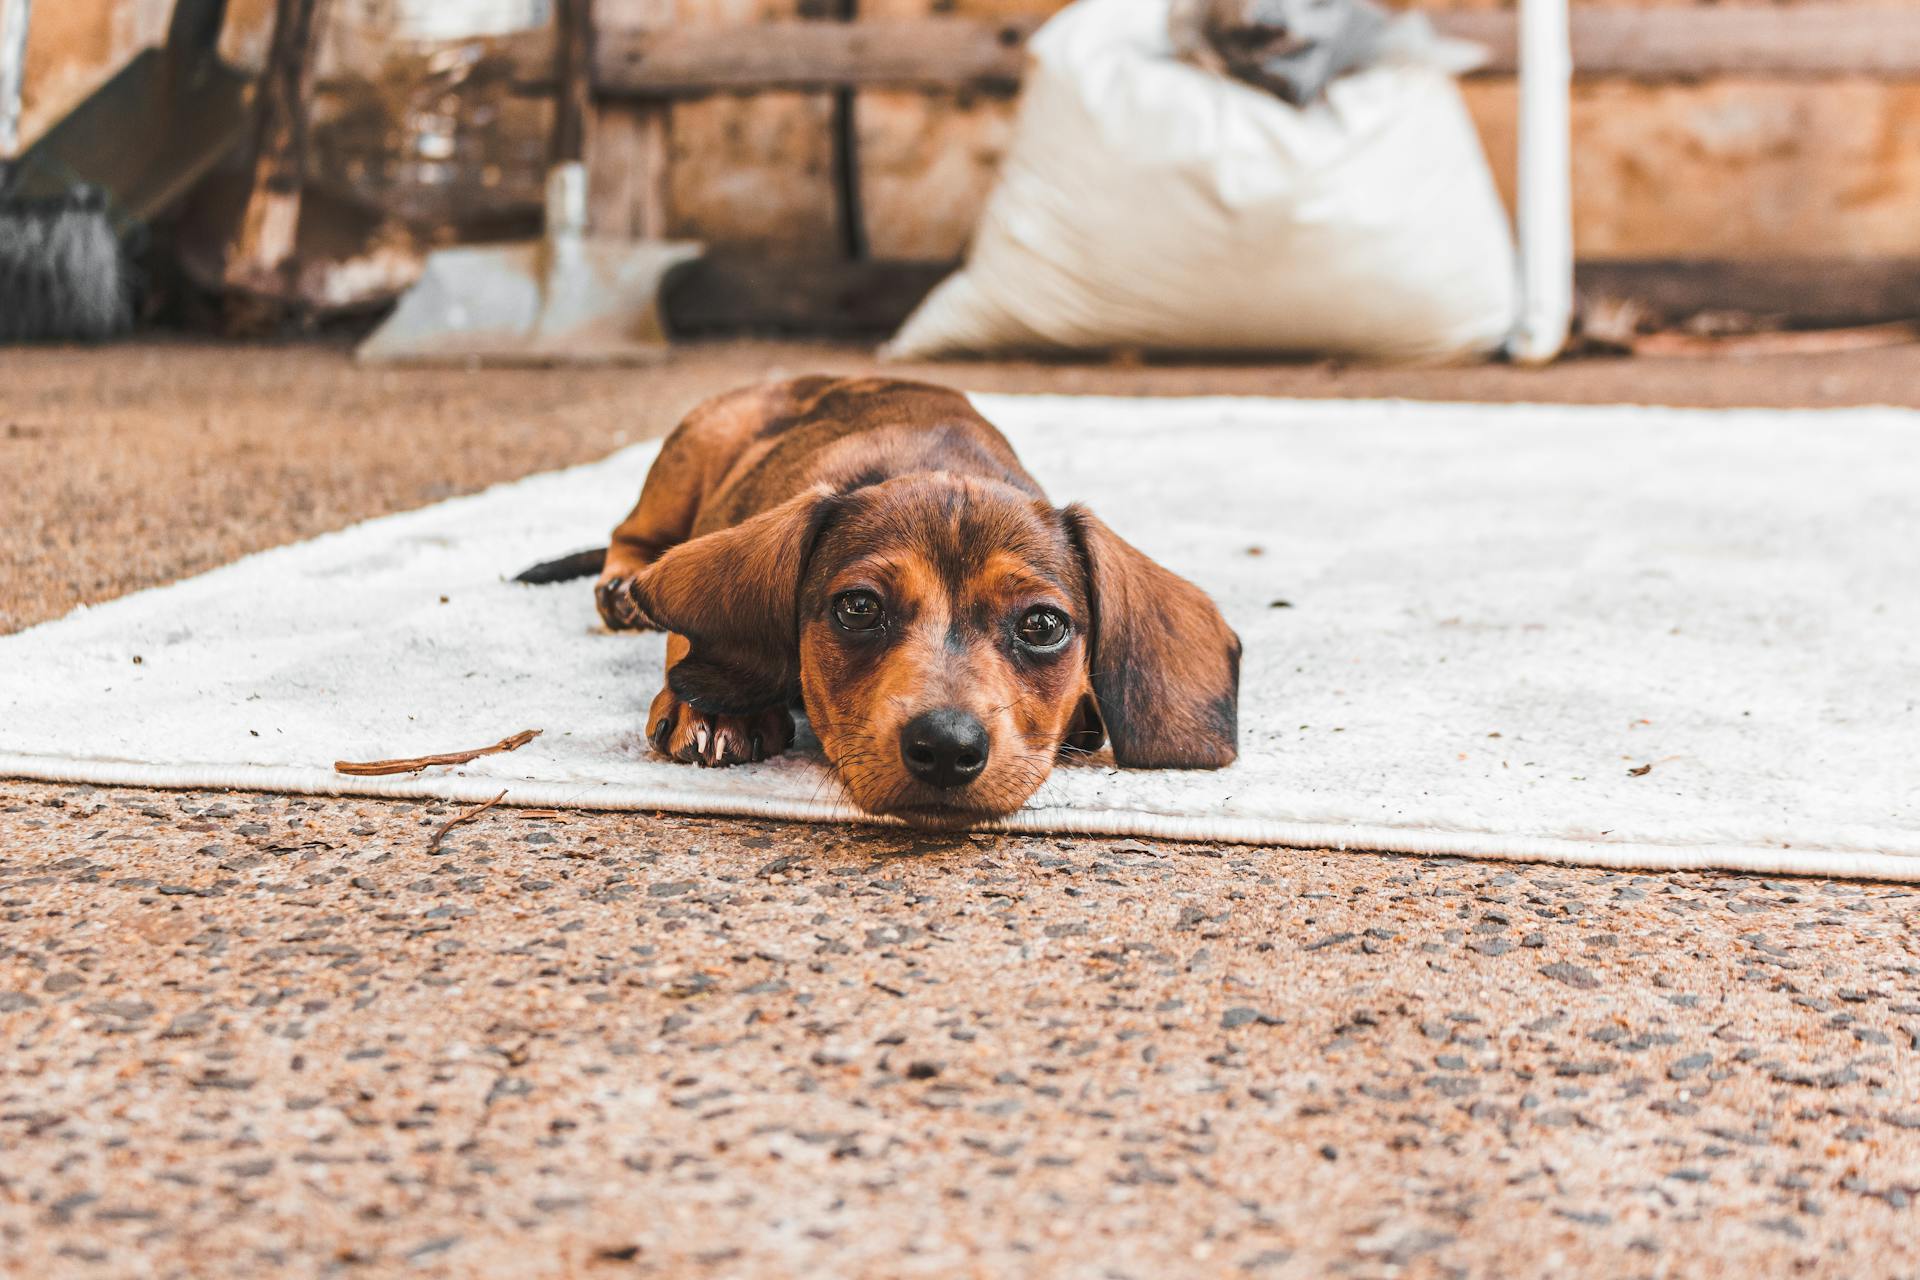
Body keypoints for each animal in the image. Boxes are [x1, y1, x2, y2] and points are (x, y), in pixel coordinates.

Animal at [526, 376, 1244, 825]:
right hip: (694, 448)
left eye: (1043, 624)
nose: (947, 748)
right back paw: (622, 589)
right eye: (860, 608)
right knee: (630, 535)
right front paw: (714, 708)